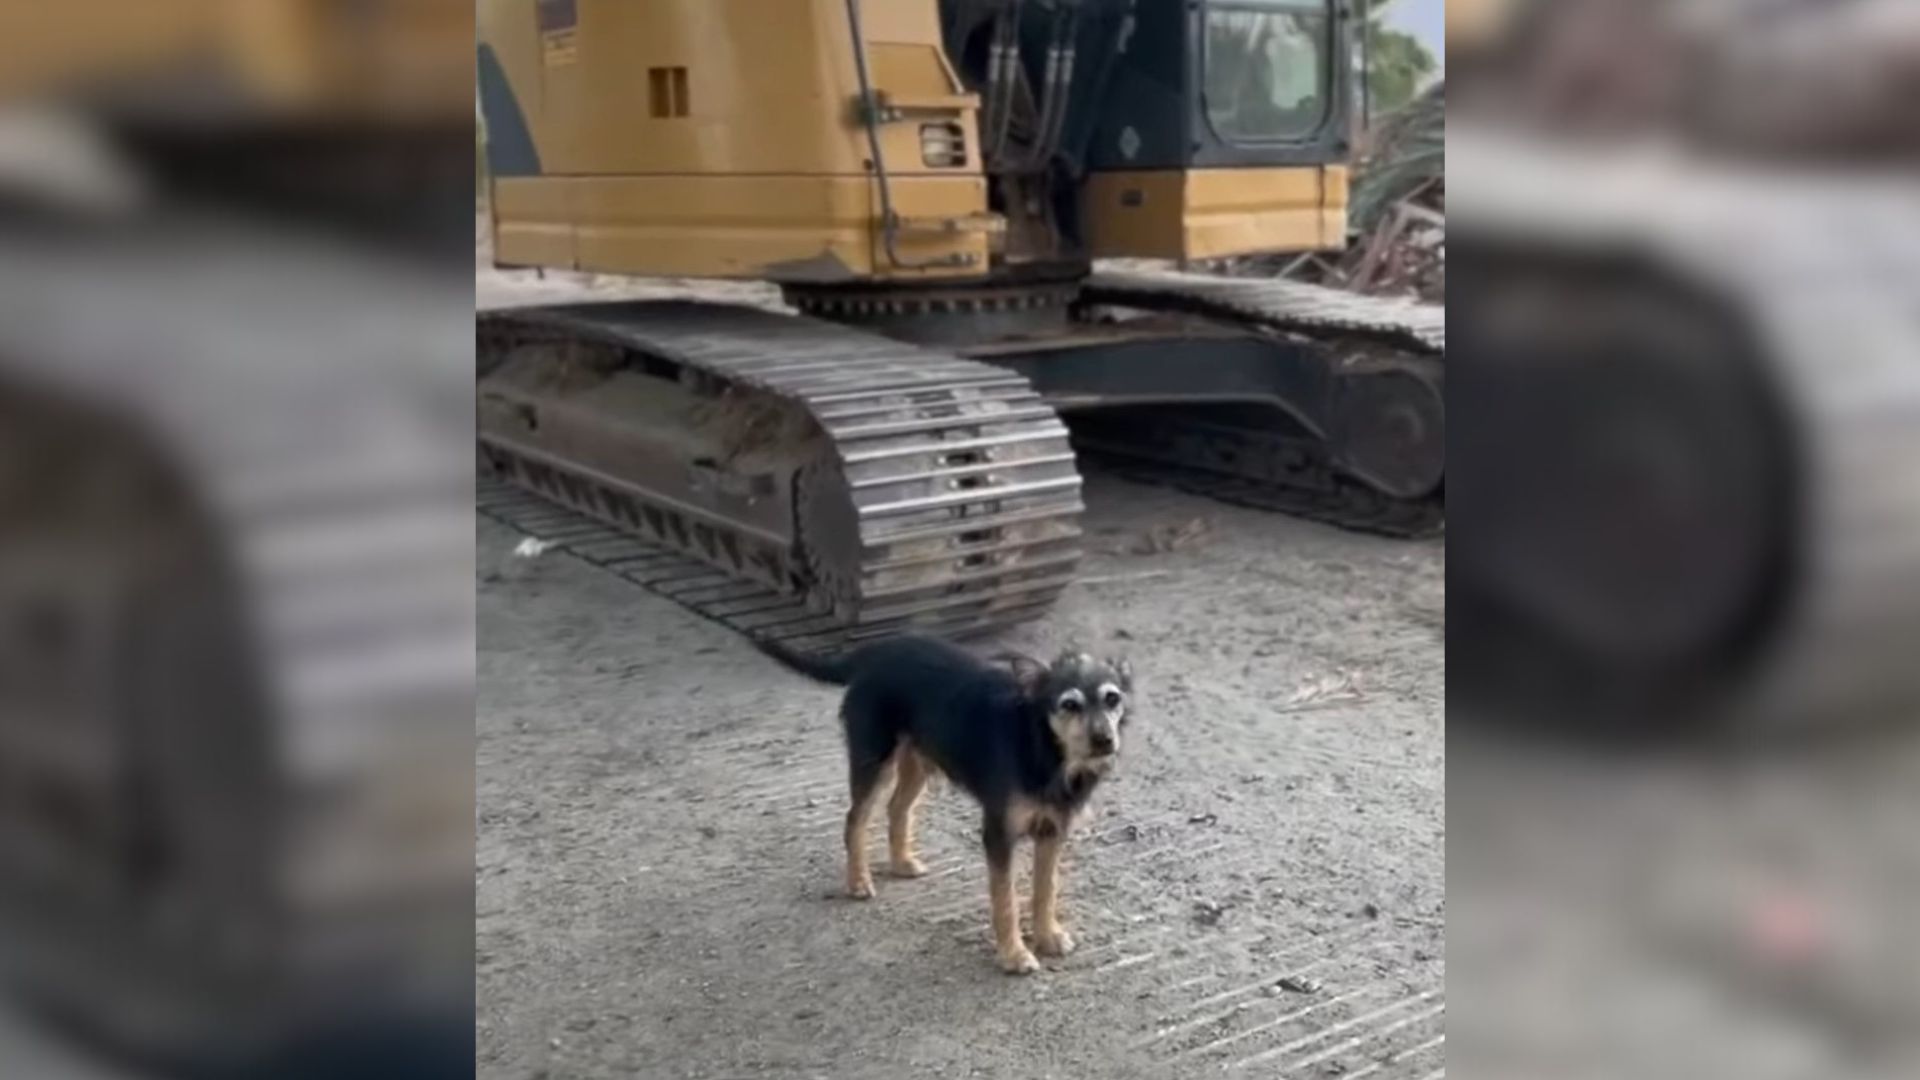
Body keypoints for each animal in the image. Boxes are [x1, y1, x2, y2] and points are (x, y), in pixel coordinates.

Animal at [756, 634, 1128, 972]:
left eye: (1112, 698)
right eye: (1069, 704)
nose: (1105, 740)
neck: (1042, 747)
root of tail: (877, 649)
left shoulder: (1052, 832)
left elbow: (1045, 891)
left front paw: (1047, 936)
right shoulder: (999, 834)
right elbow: (1006, 900)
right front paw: (1014, 955)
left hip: (918, 759)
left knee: (897, 808)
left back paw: (902, 862)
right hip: (875, 760)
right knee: (855, 820)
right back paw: (858, 881)